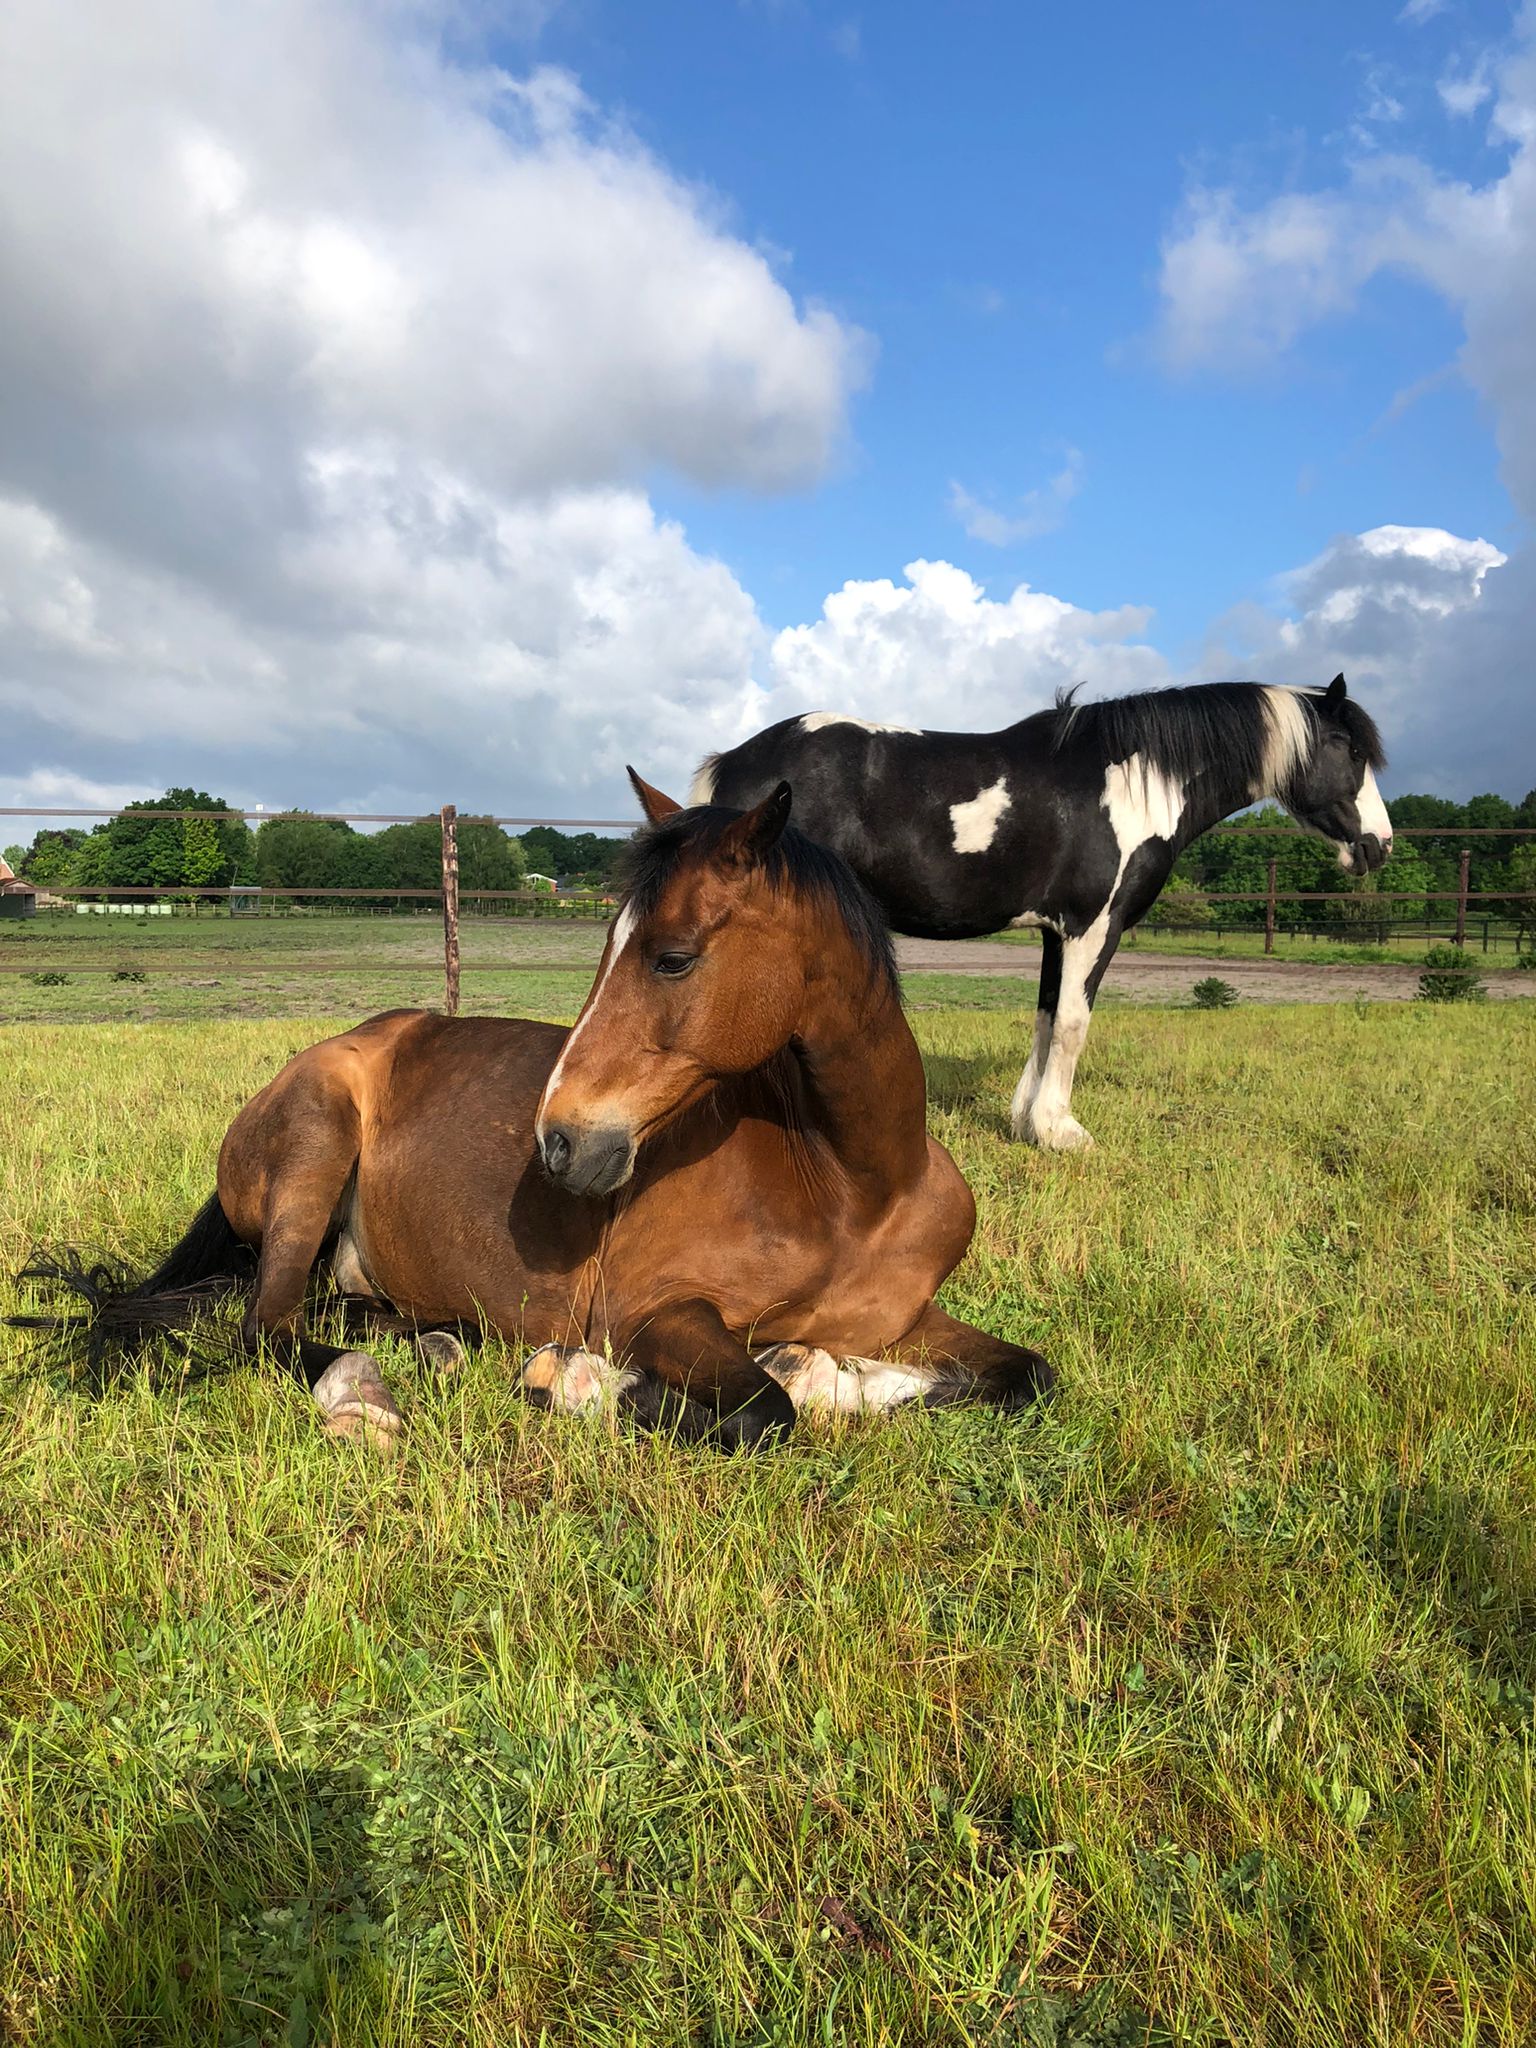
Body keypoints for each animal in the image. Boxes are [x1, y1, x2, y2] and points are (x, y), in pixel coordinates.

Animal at [13, 773, 1053, 1452]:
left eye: (672, 957)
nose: (560, 1141)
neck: (851, 1191)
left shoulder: (915, 1316)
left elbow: (1027, 1377)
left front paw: (849, 1375)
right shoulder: (658, 1312)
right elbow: (764, 1414)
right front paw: (584, 1383)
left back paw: (438, 1343)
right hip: (315, 1142)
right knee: (265, 1328)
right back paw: (369, 1391)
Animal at [692, 674, 1390, 1151]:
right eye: (1349, 751)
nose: (1378, 846)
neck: (1133, 785)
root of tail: (732, 763)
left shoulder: (1058, 932)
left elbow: (1048, 1016)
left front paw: (1026, 1120)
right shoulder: (1094, 927)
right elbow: (1076, 1024)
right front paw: (1062, 1131)